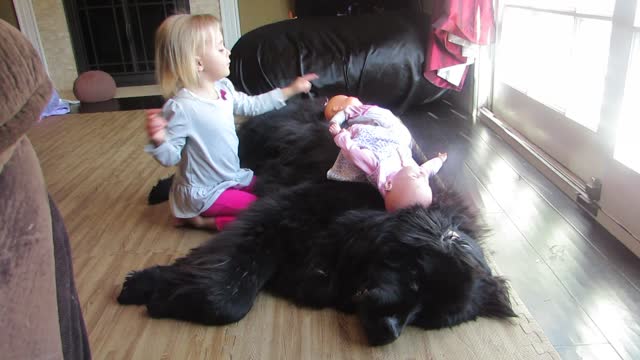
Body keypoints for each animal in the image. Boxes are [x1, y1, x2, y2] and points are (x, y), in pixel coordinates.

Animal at [124, 99, 516, 346]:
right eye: (416, 279)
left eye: (426, 318)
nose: (389, 332)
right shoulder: (279, 214)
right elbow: (229, 292)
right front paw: (148, 287)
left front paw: (157, 286)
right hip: (246, 148)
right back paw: (165, 190)